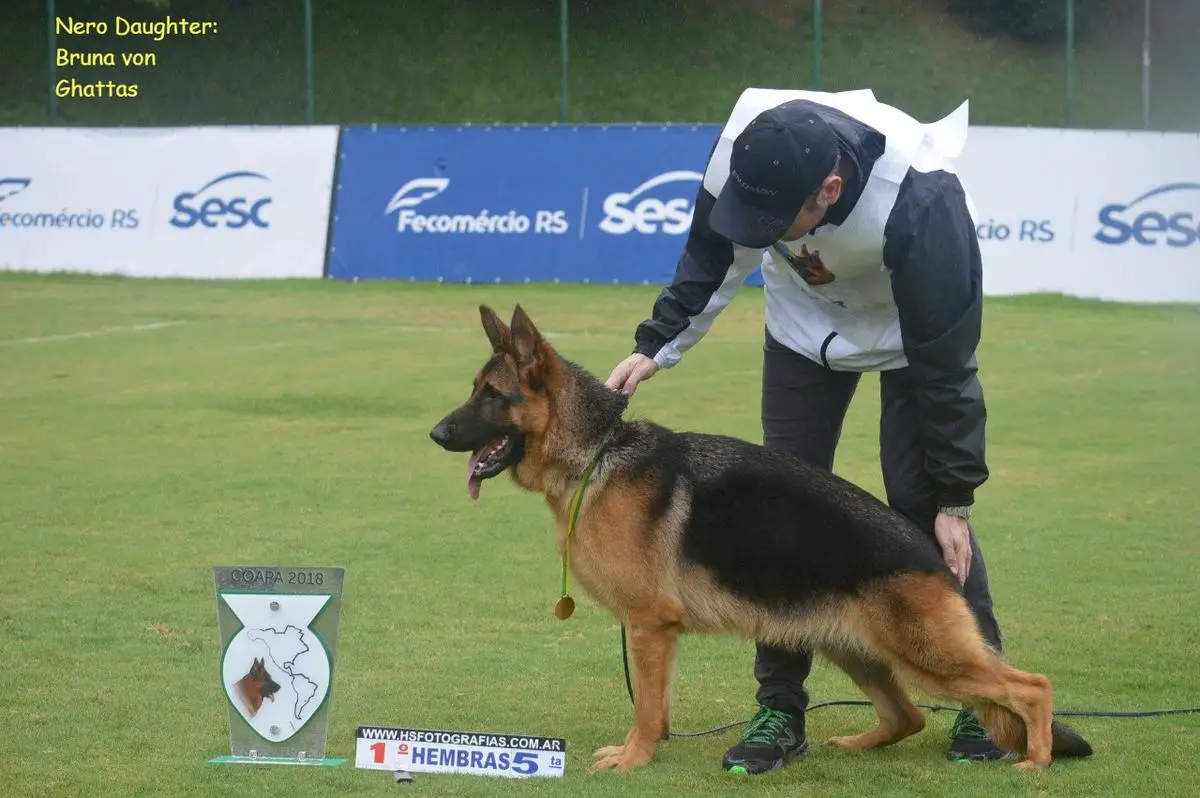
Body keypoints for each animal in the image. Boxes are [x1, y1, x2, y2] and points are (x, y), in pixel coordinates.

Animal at [432, 303, 1099, 772]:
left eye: (492, 396)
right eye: (473, 390)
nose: (436, 434)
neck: (598, 452)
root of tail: (930, 553)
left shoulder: (648, 626)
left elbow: (645, 705)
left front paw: (634, 757)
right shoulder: (654, 635)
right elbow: (656, 703)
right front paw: (649, 748)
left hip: (928, 657)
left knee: (1031, 688)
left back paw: (1036, 759)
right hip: (853, 650)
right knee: (909, 716)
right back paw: (856, 742)